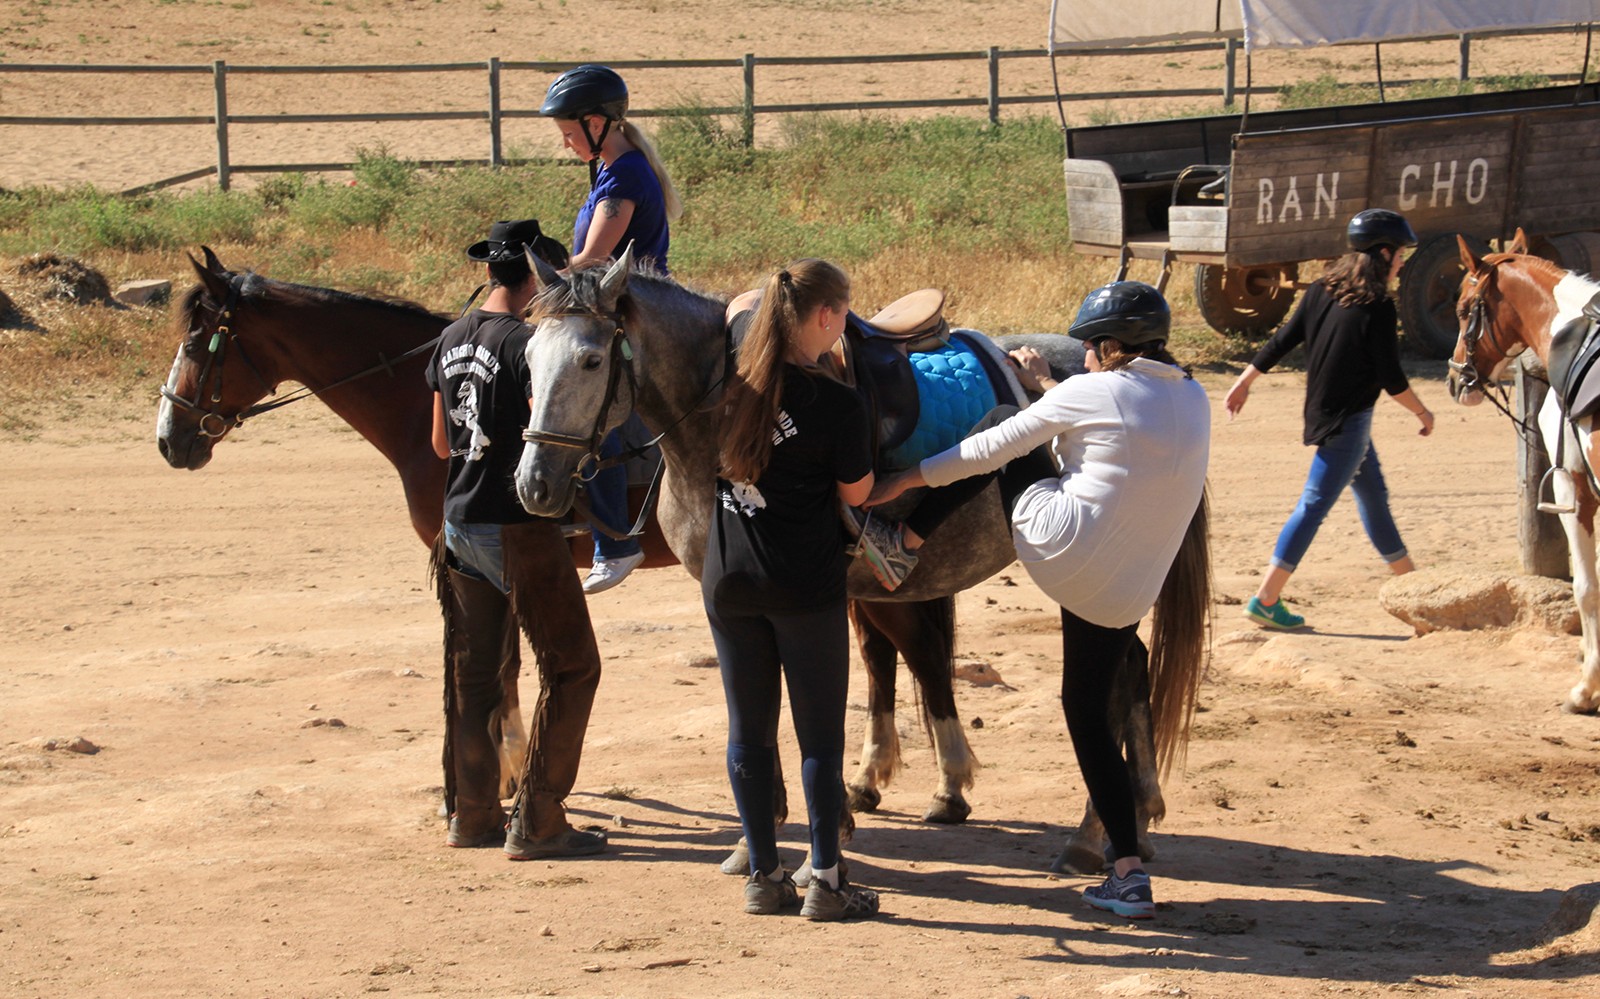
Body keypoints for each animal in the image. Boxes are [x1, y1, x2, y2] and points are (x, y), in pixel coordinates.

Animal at [511, 248, 1197, 873]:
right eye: (529, 359)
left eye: (591, 359)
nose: (534, 484)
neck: (732, 409)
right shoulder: (737, 595)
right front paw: (774, 831)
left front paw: (826, 822)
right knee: (1119, 667)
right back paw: (1133, 813)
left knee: (1118, 675)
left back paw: (1101, 828)